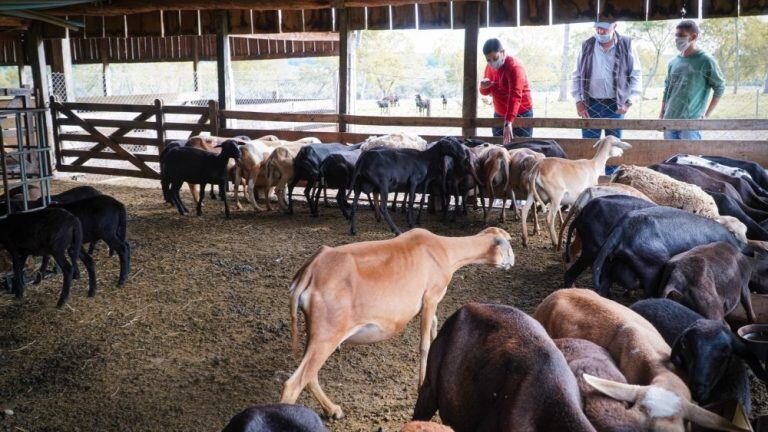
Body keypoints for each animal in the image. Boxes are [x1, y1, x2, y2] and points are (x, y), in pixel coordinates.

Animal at [282, 226, 516, 418]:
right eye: (507, 243)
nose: (512, 262)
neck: (445, 250)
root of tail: (311, 269)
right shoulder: (430, 298)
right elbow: (424, 345)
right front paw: (421, 385)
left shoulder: (432, 304)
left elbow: (435, 328)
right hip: (327, 333)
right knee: (293, 384)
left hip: (315, 330)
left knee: (310, 375)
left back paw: (332, 409)